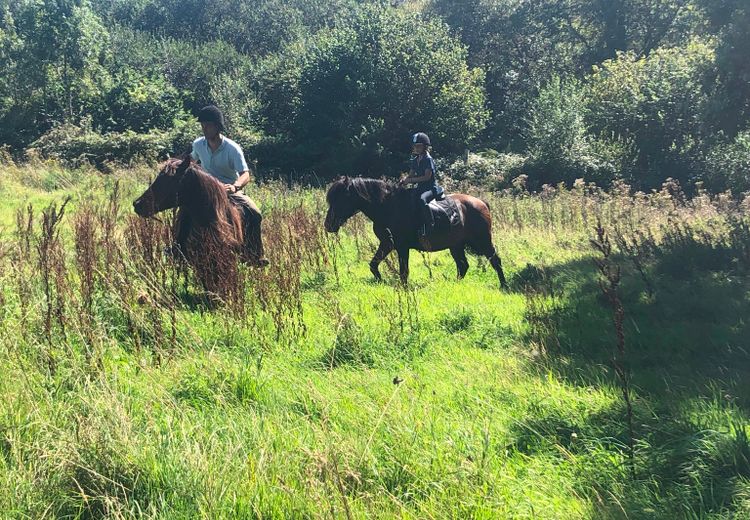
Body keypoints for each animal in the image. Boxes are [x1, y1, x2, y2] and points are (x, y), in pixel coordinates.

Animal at [324, 176, 512, 288]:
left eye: (340, 199)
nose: (328, 225)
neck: (388, 207)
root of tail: (481, 203)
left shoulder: (401, 247)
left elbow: (403, 271)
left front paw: (404, 288)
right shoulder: (387, 243)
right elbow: (373, 264)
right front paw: (379, 280)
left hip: (483, 240)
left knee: (495, 260)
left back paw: (504, 285)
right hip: (456, 245)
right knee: (463, 265)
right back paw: (454, 284)